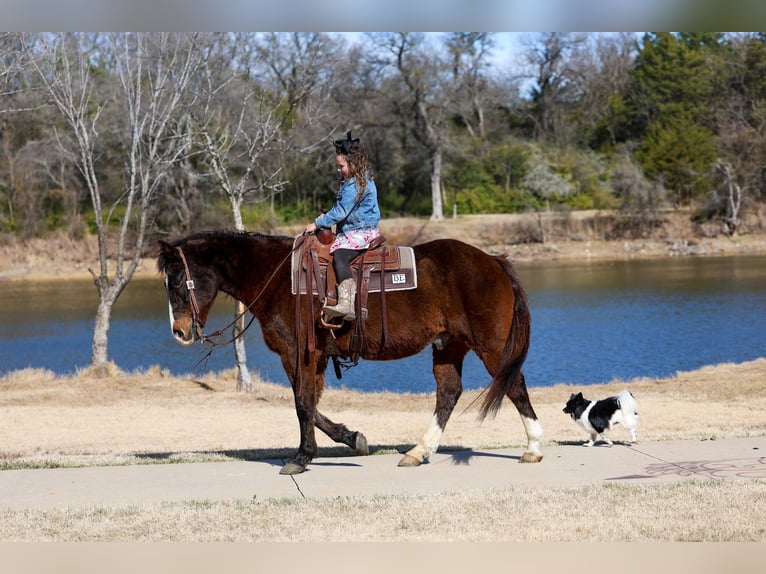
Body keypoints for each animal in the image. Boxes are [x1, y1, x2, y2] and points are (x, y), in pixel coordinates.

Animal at [157, 230, 544, 475]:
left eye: (176, 281)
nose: (179, 331)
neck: (279, 278)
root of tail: (493, 260)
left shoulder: (298, 353)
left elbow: (303, 404)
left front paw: (301, 457)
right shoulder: (311, 358)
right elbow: (310, 405)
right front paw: (352, 438)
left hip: (490, 346)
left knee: (514, 386)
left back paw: (534, 448)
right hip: (449, 346)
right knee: (448, 393)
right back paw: (418, 452)